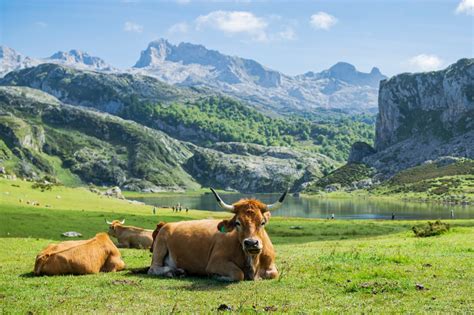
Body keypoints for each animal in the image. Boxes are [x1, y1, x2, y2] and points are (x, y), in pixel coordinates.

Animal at [146, 189, 286, 282]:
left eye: (262, 222)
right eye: (237, 223)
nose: (251, 243)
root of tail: (166, 224)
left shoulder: (271, 266)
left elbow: (274, 274)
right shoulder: (215, 262)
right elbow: (238, 274)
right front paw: (217, 276)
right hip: (159, 247)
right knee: (153, 269)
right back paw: (174, 271)